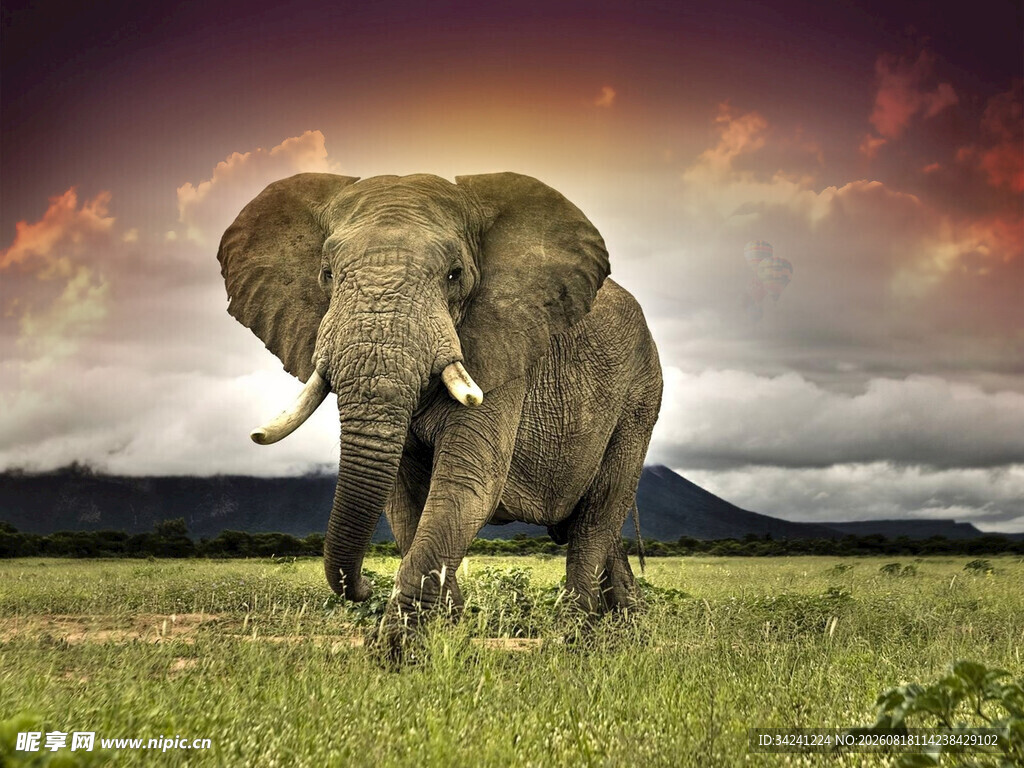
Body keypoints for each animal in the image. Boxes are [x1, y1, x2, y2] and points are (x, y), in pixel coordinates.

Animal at [218, 171, 662, 653]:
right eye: (327, 274)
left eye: (455, 275)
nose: (364, 587)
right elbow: (404, 500)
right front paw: (448, 632)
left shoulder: (503, 353)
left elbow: (466, 483)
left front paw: (396, 652)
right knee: (597, 527)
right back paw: (627, 630)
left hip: (640, 398)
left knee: (596, 518)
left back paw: (577, 639)